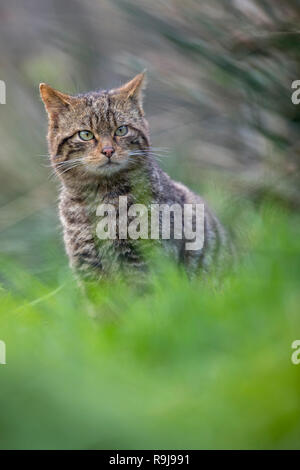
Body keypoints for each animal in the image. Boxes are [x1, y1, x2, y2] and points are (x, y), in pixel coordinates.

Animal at [39, 72, 232, 280]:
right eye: (86, 135)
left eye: (121, 130)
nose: (108, 150)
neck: (103, 196)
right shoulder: (88, 265)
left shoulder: (145, 260)